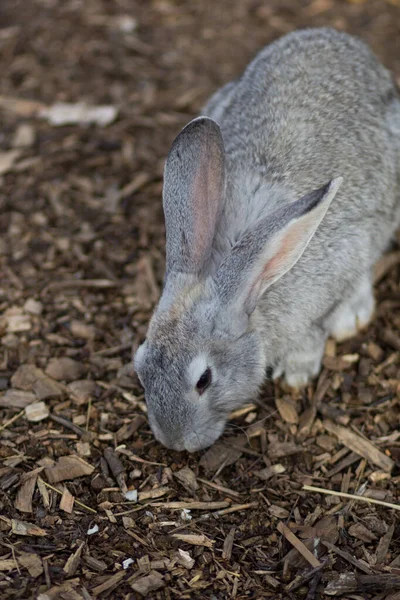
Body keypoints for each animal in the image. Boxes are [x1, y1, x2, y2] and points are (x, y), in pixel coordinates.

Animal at [135, 27, 400, 450]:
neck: (248, 284)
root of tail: (338, 38)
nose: (173, 442)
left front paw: (297, 372)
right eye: (140, 366)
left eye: (204, 379)